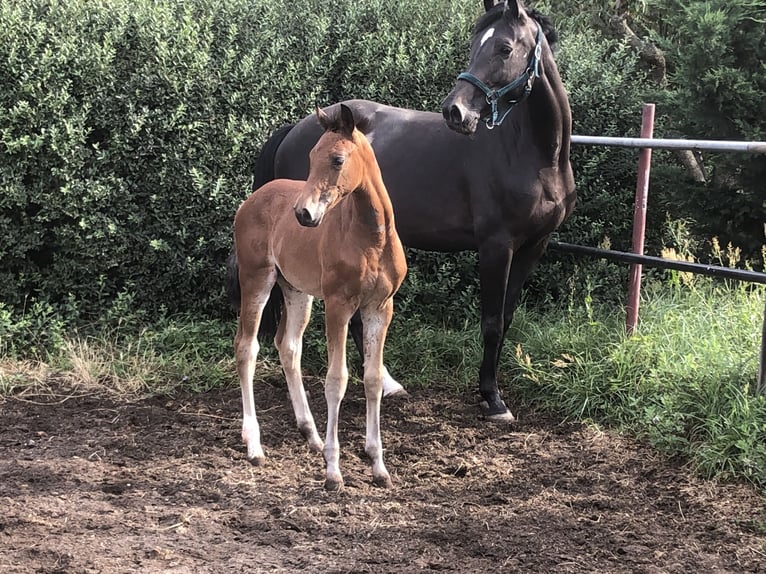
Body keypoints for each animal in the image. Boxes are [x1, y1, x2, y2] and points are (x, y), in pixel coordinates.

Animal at [230, 104, 407, 490]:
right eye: (310, 157)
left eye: (338, 159)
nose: (303, 214)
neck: (371, 238)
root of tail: (252, 199)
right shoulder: (339, 305)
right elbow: (336, 380)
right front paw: (333, 471)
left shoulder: (380, 307)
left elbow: (372, 379)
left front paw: (378, 466)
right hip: (257, 279)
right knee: (247, 347)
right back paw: (254, 445)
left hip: (296, 291)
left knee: (288, 346)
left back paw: (309, 433)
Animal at [249, 0, 575, 423]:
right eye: (474, 45)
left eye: (504, 48)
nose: (455, 112)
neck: (534, 155)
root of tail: (294, 130)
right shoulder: (496, 246)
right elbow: (490, 322)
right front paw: (492, 399)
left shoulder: (534, 246)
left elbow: (505, 319)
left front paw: (492, 391)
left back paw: (385, 382)